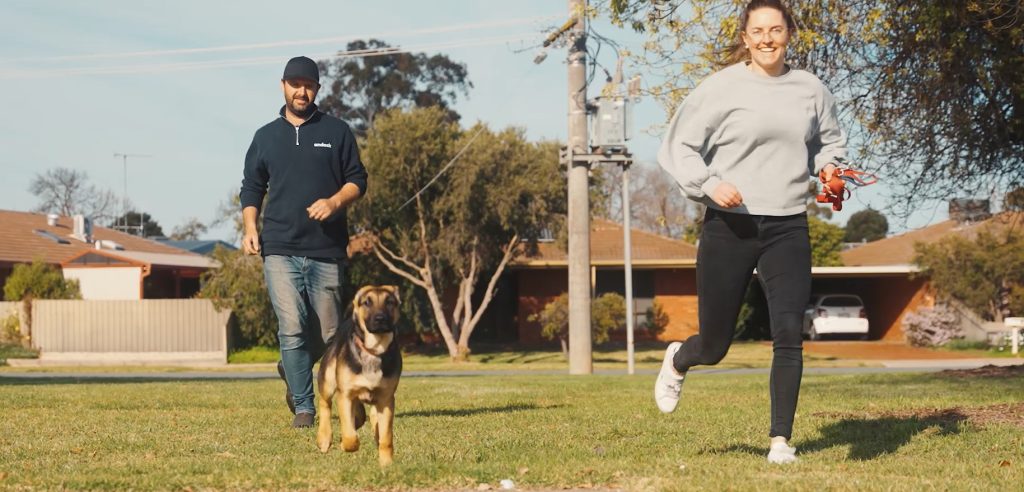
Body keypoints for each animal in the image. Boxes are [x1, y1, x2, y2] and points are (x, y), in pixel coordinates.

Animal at [315, 284, 403, 465]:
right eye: (366, 303)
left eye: (390, 302)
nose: (380, 319)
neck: (374, 350)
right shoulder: (345, 395)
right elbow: (350, 436)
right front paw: (345, 444)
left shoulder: (386, 399)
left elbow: (386, 436)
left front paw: (386, 462)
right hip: (328, 379)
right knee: (325, 403)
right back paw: (324, 438)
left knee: (367, 418)